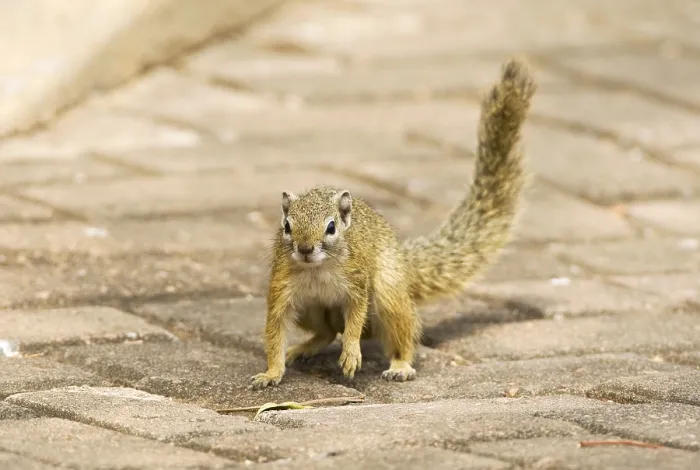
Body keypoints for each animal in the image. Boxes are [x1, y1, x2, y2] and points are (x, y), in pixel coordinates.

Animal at [251, 59, 537, 389]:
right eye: (286, 226)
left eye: (331, 227)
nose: (306, 249)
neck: (316, 270)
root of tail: (403, 261)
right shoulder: (282, 289)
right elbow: (275, 331)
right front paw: (271, 372)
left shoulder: (357, 282)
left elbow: (355, 319)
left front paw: (352, 353)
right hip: (311, 310)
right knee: (326, 331)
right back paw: (303, 348)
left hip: (388, 292)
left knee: (397, 332)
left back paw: (400, 365)